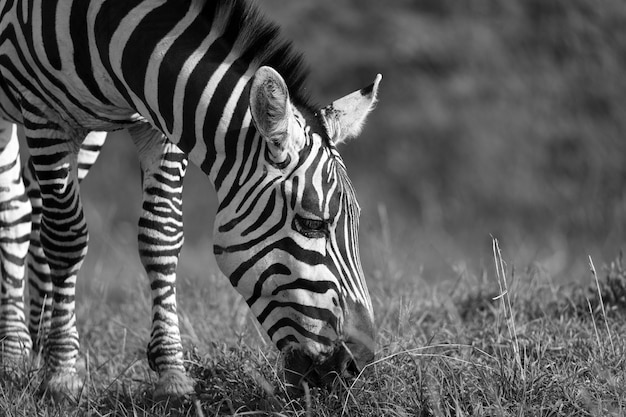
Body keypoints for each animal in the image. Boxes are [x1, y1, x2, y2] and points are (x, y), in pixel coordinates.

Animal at [0, 0, 378, 398]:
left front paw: (172, 375)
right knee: (15, 214)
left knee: (28, 211)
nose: (361, 364)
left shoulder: (158, 124)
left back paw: (35, 343)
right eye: (311, 224)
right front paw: (62, 375)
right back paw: (13, 353)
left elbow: (160, 238)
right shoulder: (45, 115)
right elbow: (67, 240)